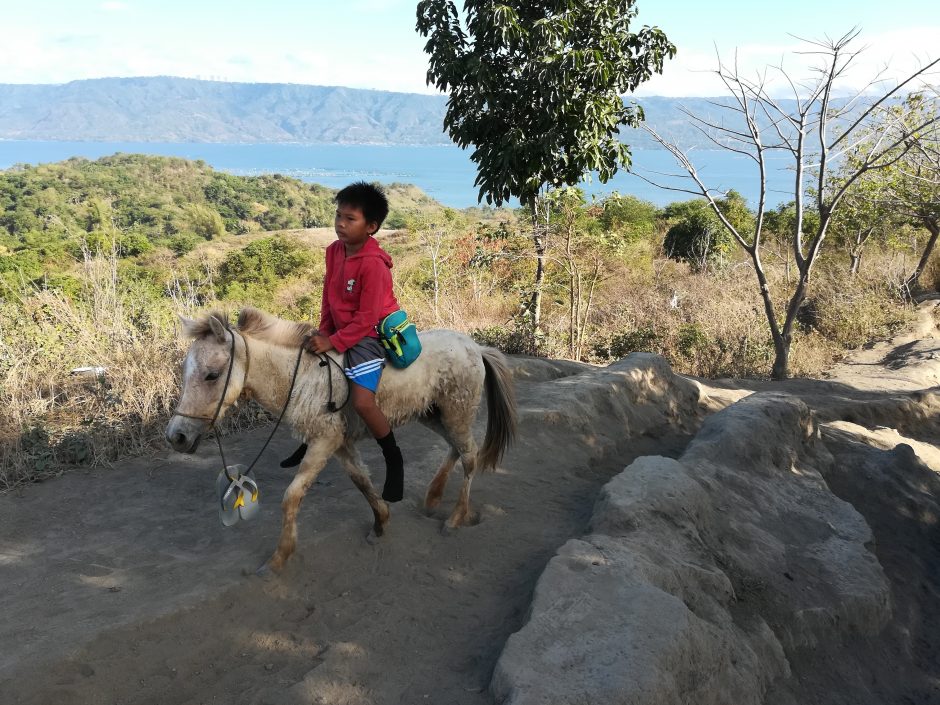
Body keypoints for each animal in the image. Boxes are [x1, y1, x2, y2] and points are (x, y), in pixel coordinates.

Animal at [165, 308, 516, 572]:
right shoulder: (341, 443)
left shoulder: (323, 440)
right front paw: (380, 523)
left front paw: (280, 556)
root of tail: (476, 347)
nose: (176, 436)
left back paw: (455, 518)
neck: (301, 378)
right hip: (433, 415)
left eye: (211, 375)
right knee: (456, 448)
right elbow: (361, 481)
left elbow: (292, 496)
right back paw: (433, 498)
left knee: (469, 456)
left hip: (456, 411)